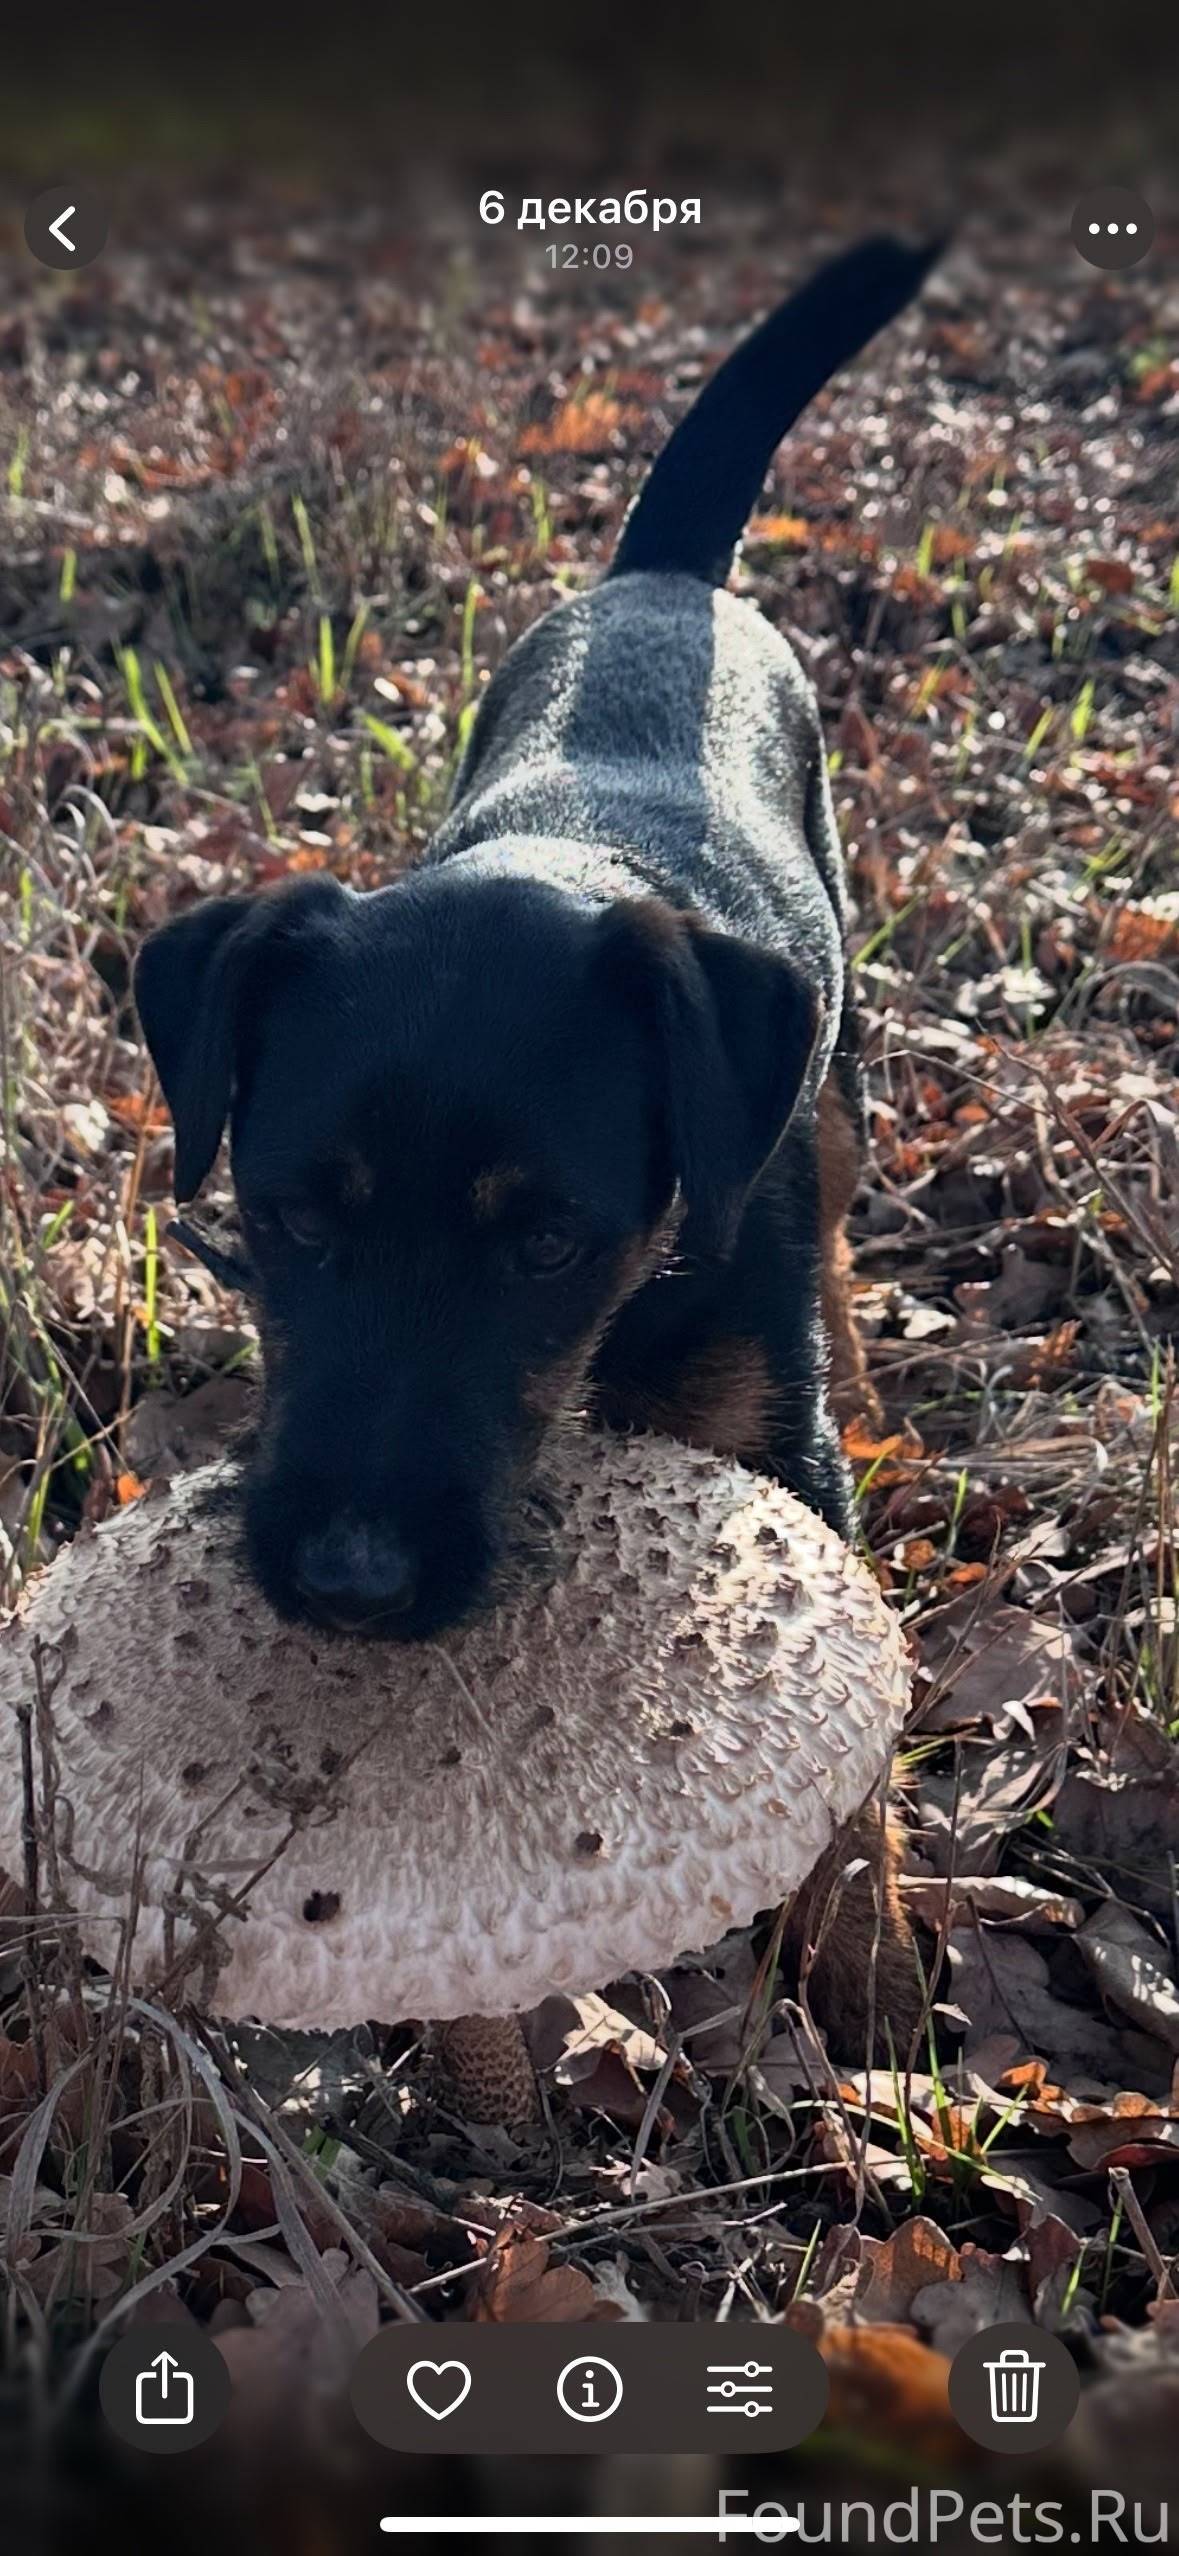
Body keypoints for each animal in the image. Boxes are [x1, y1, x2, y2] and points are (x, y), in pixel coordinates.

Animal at [136, 236, 939, 2045]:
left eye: (547, 1240)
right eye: (290, 1218)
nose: (349, 1582)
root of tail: (663, 576)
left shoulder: (773, 1456)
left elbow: (852, 1775)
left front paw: (868, 1986)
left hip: (843, 1047)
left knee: (838, 1204)